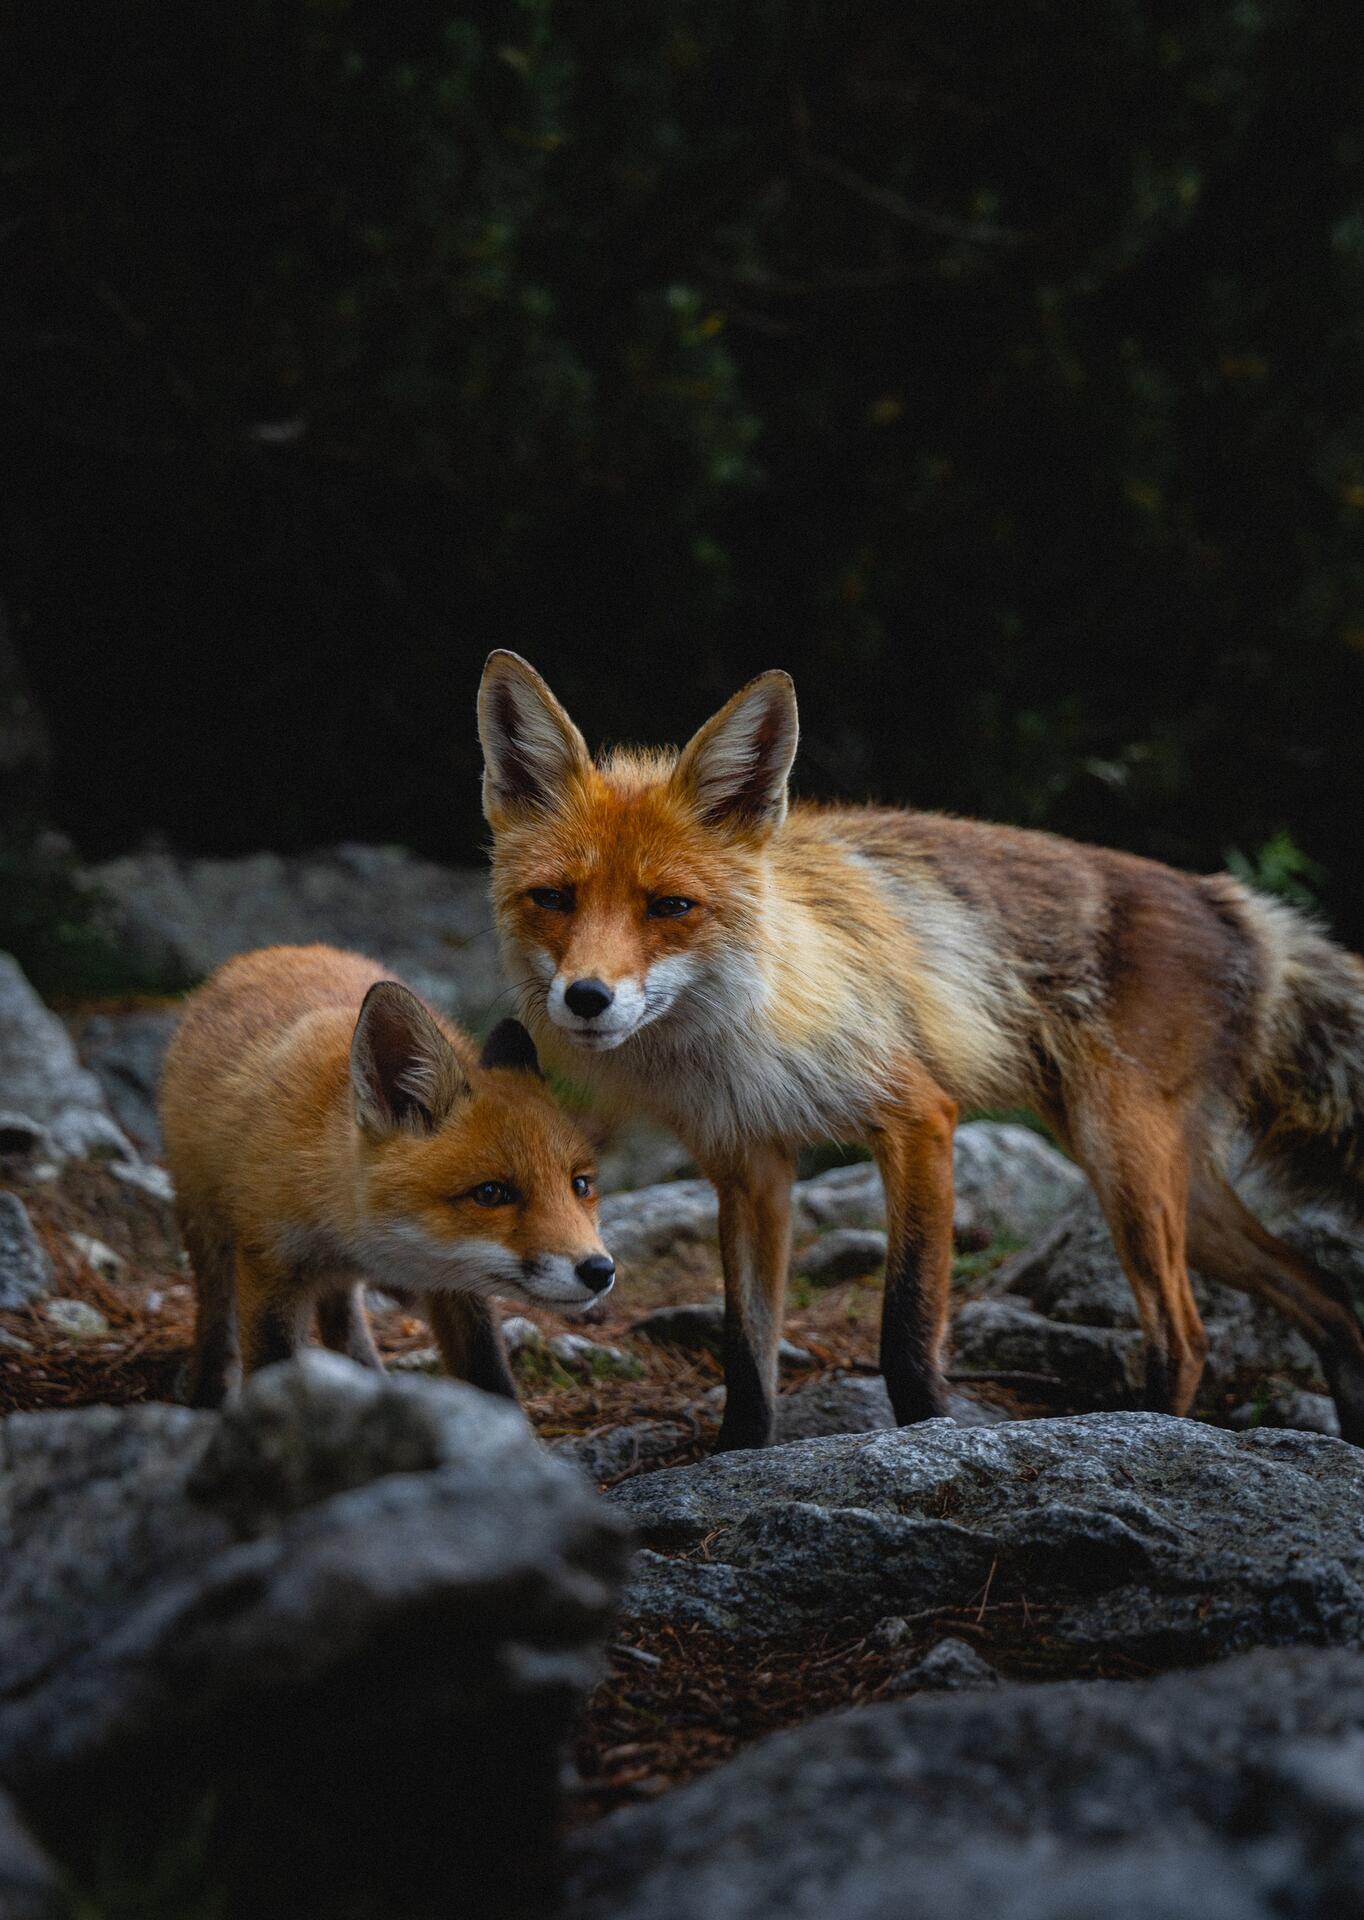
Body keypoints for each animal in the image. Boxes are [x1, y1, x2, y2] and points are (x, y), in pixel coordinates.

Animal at [478, 652, 1364, 1443]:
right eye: (553, 898)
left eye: (670, 906)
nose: (586, 997)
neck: (737, 1035)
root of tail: (1228, 898)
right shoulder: (749, 1164)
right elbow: (747, 1355)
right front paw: (736, 1457)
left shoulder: (919, 1119)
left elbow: (905, 1332)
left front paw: (931, 1436)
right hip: (1168, 1185)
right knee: (1326, 1297)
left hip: (1125, 1162)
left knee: (1188, 1337)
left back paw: (1147, 1431)